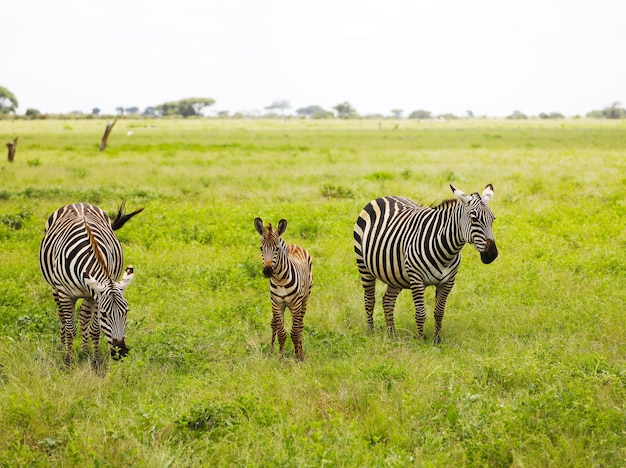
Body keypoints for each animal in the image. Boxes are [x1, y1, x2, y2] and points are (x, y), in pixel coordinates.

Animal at [39, 202, 144, 366]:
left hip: (87, 295)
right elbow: (70, 329)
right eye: (104, 314)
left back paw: (84, 349)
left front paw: (95, 361)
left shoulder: (94, 295)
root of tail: (77, 203)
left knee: (83, 317)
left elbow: (95, 329)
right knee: (62, 317)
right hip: (55, 289)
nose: (120, 353)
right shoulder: (66, 294)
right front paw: (67, 361)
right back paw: (62, 345)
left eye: (126, 311)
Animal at [254, 218, 312, 360]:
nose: (267, 271)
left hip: (305, 300)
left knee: (300, 326)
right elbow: (281, 333)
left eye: (277, 249)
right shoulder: (277, 304)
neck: (280, 280)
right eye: (261, 248)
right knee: (274, 324)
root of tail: (294, 245)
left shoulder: (295, 305)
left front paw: (298, 358)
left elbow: (295, 333)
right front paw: (280, 358)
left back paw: (301, 352)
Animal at [354, 185, 494, 342]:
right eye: (474, 218)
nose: (492, 254)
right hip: (363, 266)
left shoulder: (448, 282)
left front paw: (436, 340)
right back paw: (370, 332)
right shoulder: (416, 279)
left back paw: (392, 333)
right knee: (369, 299)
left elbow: (439, 312)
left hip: (394, 275)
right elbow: (420, 313)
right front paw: (420, 340)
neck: (446, 252)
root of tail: (384, 197)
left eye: (493, 219)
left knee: (387, 301)